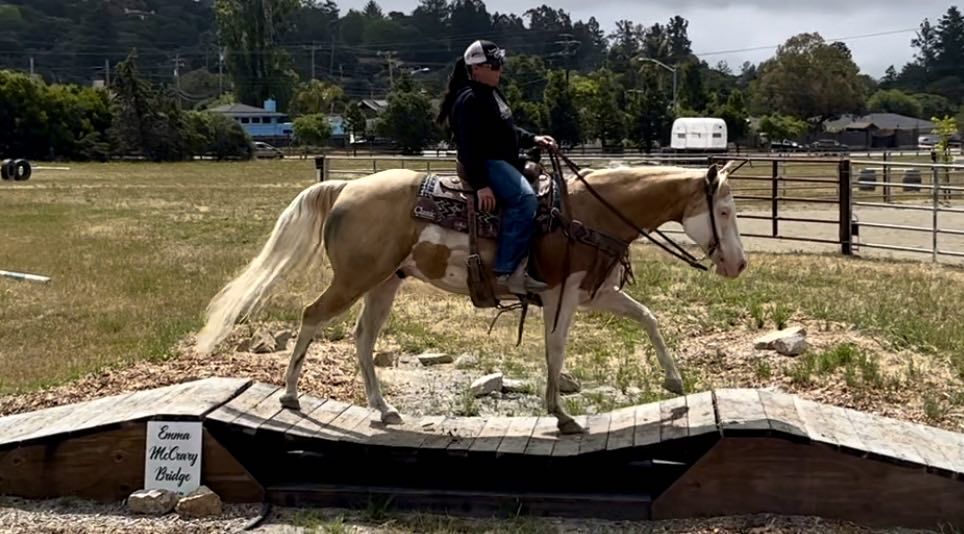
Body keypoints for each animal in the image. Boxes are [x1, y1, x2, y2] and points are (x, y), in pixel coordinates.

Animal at [194, 155, 747, 435]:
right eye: (723, 212)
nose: (738, 264)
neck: (587, 211)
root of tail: (346, 188)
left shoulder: (596, 293)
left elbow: (648, 317)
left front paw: (674, 384)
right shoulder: (562, 295)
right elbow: (556, 349)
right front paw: (562, 414)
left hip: (384, 283)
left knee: (363, 338)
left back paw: (383, 408)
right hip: (354, 279)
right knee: (313, 317)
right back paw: (289, 394)